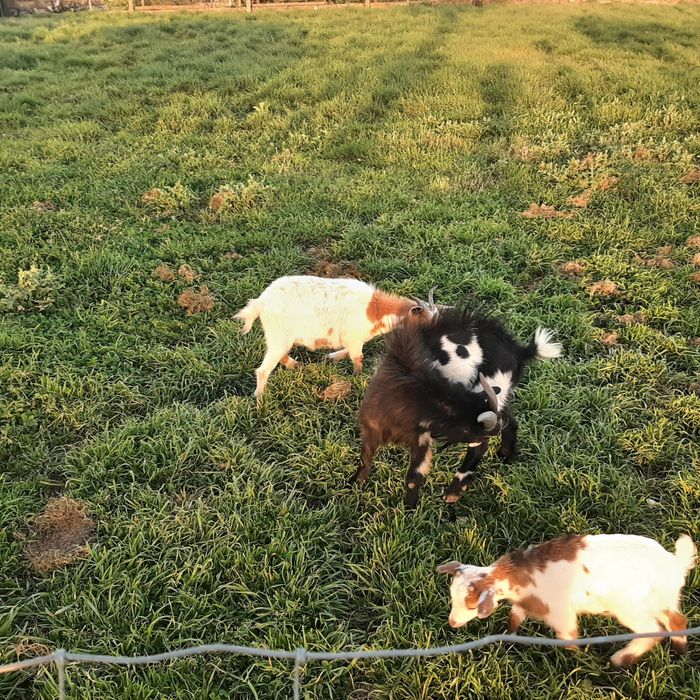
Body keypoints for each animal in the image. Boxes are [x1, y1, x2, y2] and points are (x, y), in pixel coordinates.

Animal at [235, 276, 435, 397]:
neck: (374, 310)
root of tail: (261, 302)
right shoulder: (354, 338)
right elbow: (358, 358)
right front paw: (356, 377)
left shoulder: (352, 339)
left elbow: (348, 352)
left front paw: (331, 357)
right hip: (279, 336)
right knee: (263, 369)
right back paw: (260, 400)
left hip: (279, 338)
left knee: (280, 356)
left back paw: (296, 365)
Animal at [354, 308, 562, 506]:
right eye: (464, 429)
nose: (492, 431)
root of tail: (518, 350)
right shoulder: (372, 428)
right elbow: (366, 459)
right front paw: (356, 484)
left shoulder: (422, 438)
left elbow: (414, 477)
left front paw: (409, 511)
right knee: (509, 421)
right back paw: (505, 455)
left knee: (485, 442)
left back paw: (453, 491)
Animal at [437, 533, 696, 667]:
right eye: (452, 598)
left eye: (471, 604)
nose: (452, 623)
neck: (519, 574)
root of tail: (675, 563)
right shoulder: (524, 602)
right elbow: (514, 618)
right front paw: (508, 639)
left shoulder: (561, 613)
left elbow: (568, 638)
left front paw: (577, 663)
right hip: (665, 598)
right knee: (677, 620)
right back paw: (679, 653)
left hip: (630, 607)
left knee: (652, 630)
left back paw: (620, 659)